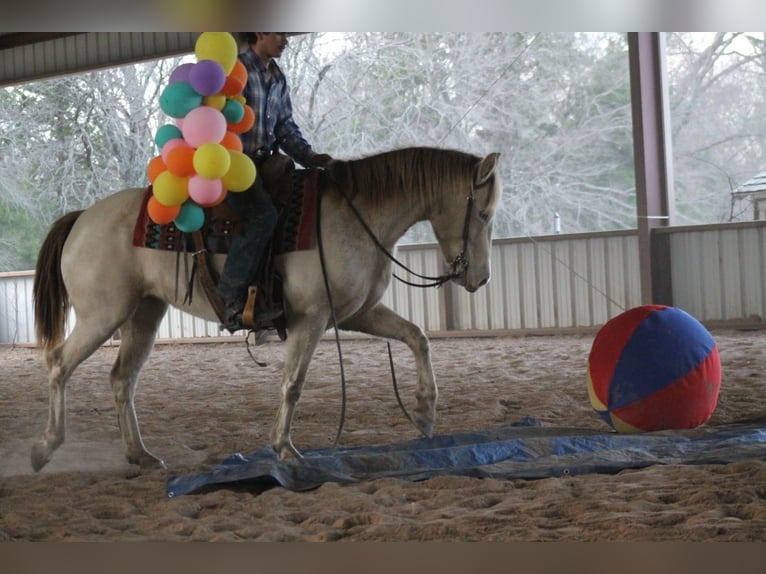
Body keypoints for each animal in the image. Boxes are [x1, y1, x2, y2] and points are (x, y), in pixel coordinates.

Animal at [31, 146, 501, 471]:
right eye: (483, 213)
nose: (481, 278)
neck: (357, 219)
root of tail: (82, 218)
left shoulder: (355, 313)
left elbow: (417, 337)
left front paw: (424, 412)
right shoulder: (312, 318)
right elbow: (293, 382)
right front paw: (286, 449)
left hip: (143, 314)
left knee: (121, 379)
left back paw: (140, 454)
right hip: (102, 315)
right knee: (59, 364)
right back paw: (44, 448)